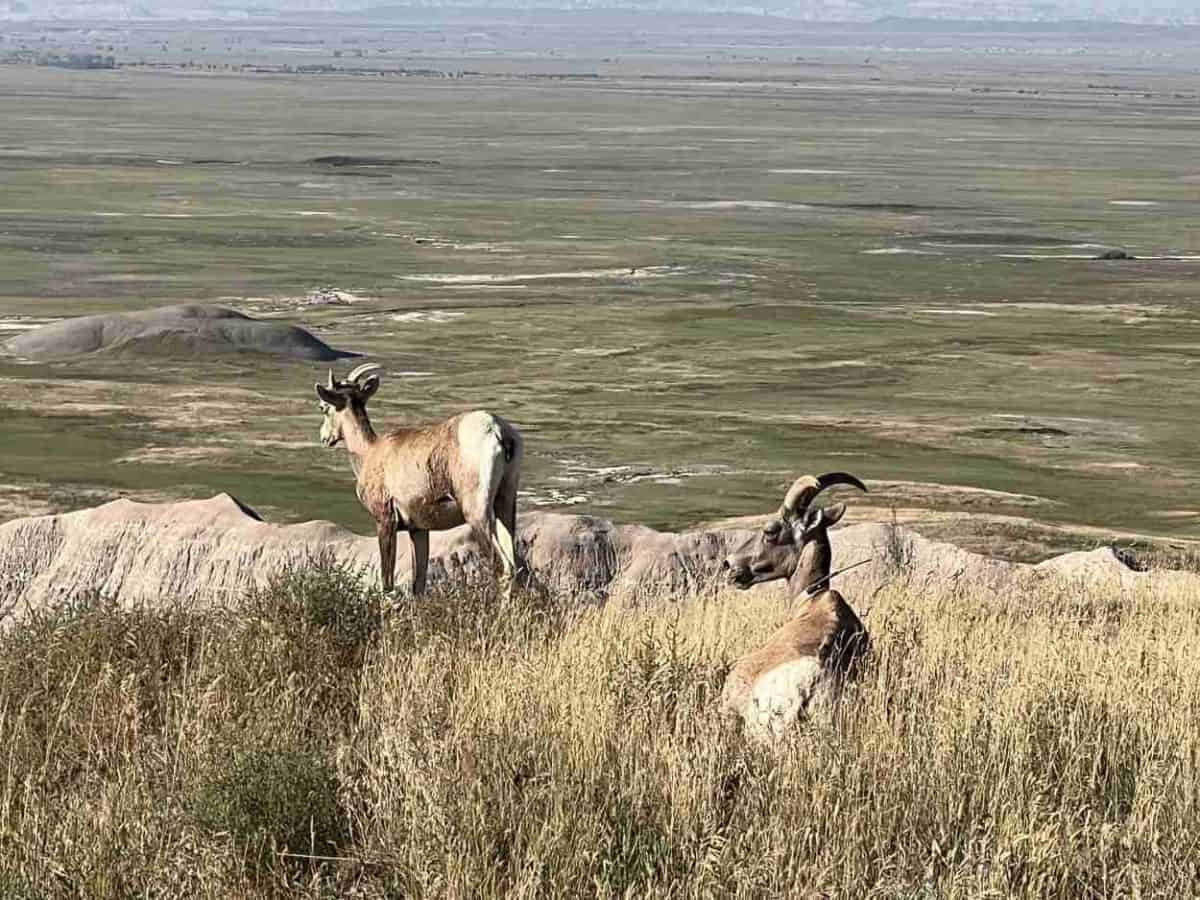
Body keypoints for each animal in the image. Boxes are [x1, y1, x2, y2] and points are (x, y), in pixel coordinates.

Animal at [314, 363, 524, 598]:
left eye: (324, 407)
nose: (324, 437)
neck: (370, 452)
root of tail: (498, 432)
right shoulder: (419, 530)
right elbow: (418, 586)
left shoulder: (385, 521)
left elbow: (387, 583)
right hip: (505, 504)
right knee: (516, 567)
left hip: (478, 514)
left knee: (503, 567)